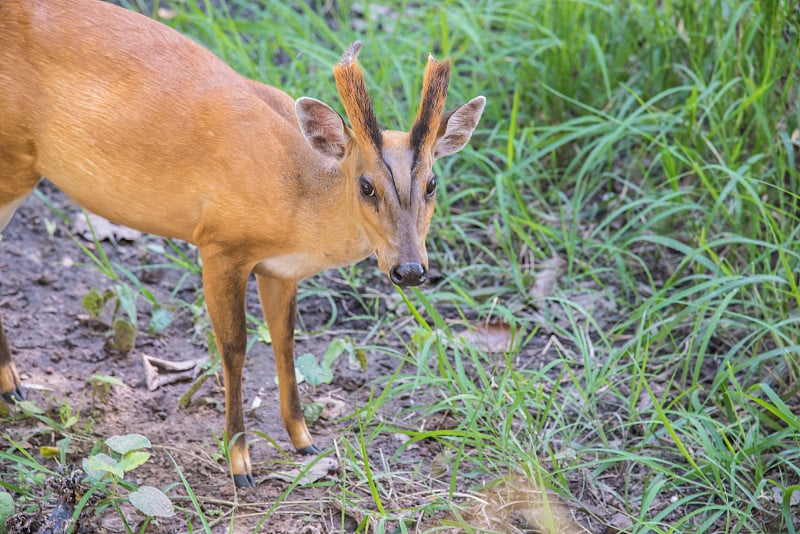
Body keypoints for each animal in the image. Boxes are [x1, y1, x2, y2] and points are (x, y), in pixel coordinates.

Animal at [0, 0, 488, 488]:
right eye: (367, 186)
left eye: (432, 183)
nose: (410, 270)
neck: (296, 197)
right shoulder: (218, 243)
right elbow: (234, 348)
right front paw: (239, 463)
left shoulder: (280, 269)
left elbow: (285, 340)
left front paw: (303, 440)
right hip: (13, 163)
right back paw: (13, 385)